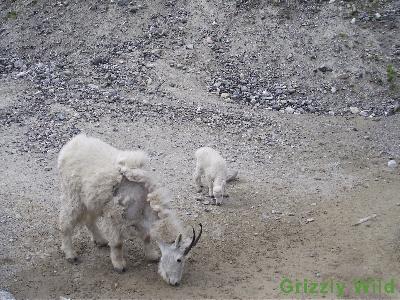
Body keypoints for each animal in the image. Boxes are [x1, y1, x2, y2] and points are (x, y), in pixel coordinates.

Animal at [57, 134, 202, 286]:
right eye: (179, 259)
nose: (175, 282)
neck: (143, 198)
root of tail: (70, 145)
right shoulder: (114, 215)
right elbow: (117, 243)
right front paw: (119, 265)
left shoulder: (139, 218)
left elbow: (147, 236)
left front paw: (152, 256)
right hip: (72, 195)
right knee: (65, 223)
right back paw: (71, 254)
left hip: (91, 199)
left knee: (89, 219)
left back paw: (100, 241)